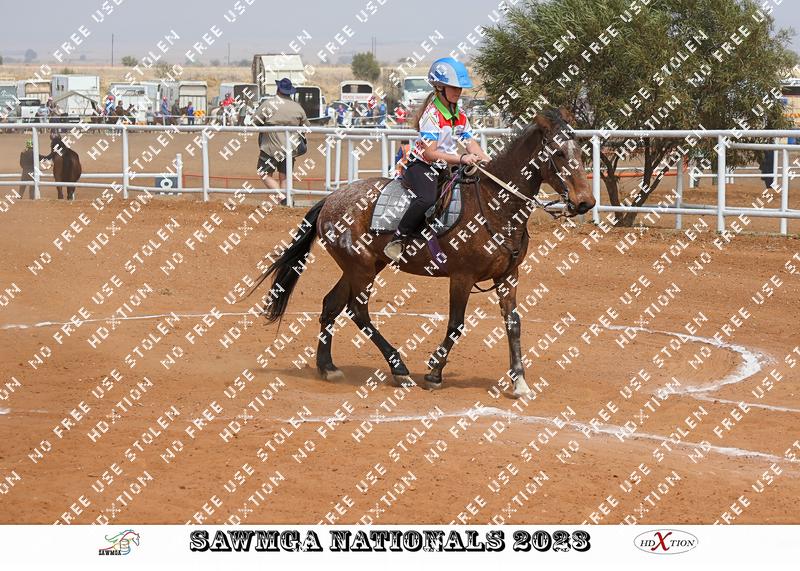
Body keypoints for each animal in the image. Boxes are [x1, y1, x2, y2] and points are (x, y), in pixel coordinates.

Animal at [250, 108, 595, 398]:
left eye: (581, 152)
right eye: (559, 153)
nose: (586, 202)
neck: (494, 203)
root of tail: (331, 199)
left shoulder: (508, 276)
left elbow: (513, 324)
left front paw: (520, 381)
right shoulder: (462, 277)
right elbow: (456, 324)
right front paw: (434, 373)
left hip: (363, 267)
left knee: (331, 305)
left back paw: (328, 367)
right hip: (361, 269)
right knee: (357, 311)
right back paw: (399, 368)